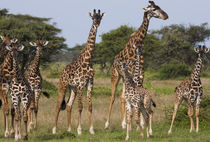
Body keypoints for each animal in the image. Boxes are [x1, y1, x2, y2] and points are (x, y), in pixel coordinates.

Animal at [105, 0, 169, 129]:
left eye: (159, 6)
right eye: (153, 9)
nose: (166, 16)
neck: (138, 42)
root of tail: (114, 59)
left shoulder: (140, 74)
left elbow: (139, 92)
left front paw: (143, 123)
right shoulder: (131, 74)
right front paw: (137, 122)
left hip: (124, 78)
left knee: (122, 97)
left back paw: (124, 123)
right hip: (116, 75)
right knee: (113, 96)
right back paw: (108, 124)